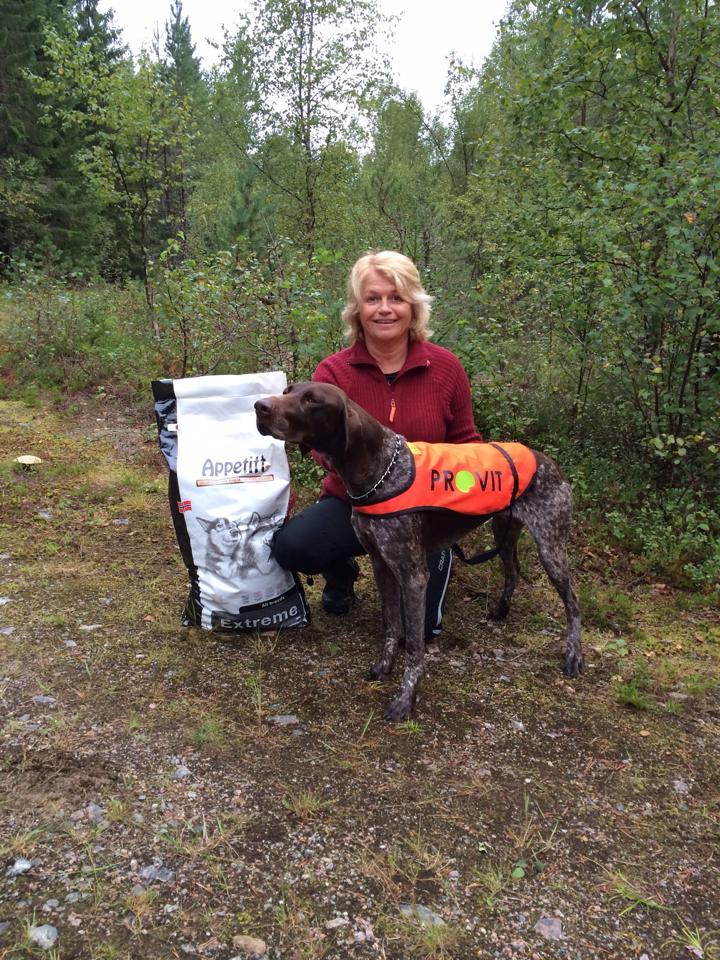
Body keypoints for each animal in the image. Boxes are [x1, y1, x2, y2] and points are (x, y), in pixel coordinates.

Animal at [256, 378, 584, 716]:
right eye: (287, 392)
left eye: (312, 400)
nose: (259, 406)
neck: (381, 471)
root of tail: (550, 463)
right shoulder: (381, 564)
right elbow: (391, 625)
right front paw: (384, 666)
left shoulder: (413, 578)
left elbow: (413, 644)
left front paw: (406, 697)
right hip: (504, 531)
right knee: (513, 570)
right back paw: (501, 610)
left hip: (550, 545)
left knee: (573, 602)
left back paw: (573, 655)